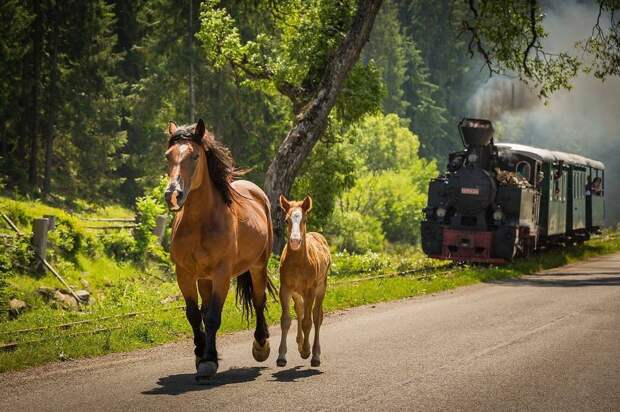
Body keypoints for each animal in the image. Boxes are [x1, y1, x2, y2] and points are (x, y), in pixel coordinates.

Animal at [165, 119, 274, 380]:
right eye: (168, 156)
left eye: (194, 156)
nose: (172, 195)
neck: (200, 223)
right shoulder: (185, 273)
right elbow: (195, 314)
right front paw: (202, 354)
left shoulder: (221, 275)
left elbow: (214, 317)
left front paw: (208, 362)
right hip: (204, 278)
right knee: (204, 310)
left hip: (258, 266)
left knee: (258, 300)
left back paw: (261, 345)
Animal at [278, 196, 332, 366]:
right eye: (286, 220)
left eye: (304, 219)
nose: (295, 241)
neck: (298, 263)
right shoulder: (285, 289)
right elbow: (286, 320)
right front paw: (281, 356)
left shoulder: (310, 291)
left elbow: (308, 322)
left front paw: (307, 351)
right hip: (297, 293)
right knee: (300, 310)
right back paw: (300, 345)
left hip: (321, 288)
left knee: (316, 316)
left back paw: (315, 354)